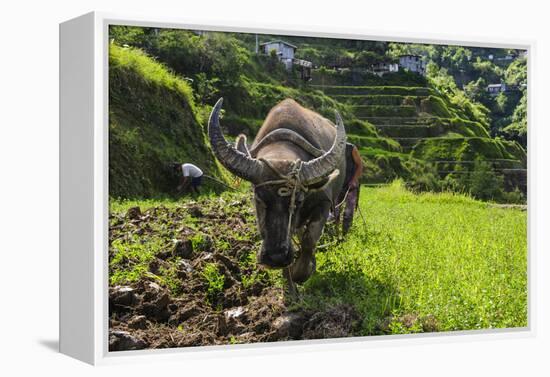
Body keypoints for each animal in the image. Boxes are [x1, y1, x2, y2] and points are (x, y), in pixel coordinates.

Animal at [209, 97, 348, 290]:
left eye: (298, 201)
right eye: (258, 198)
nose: (276, 257)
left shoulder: (324, 203)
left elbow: (309, 239)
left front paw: (302, 272)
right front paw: (289, 281)